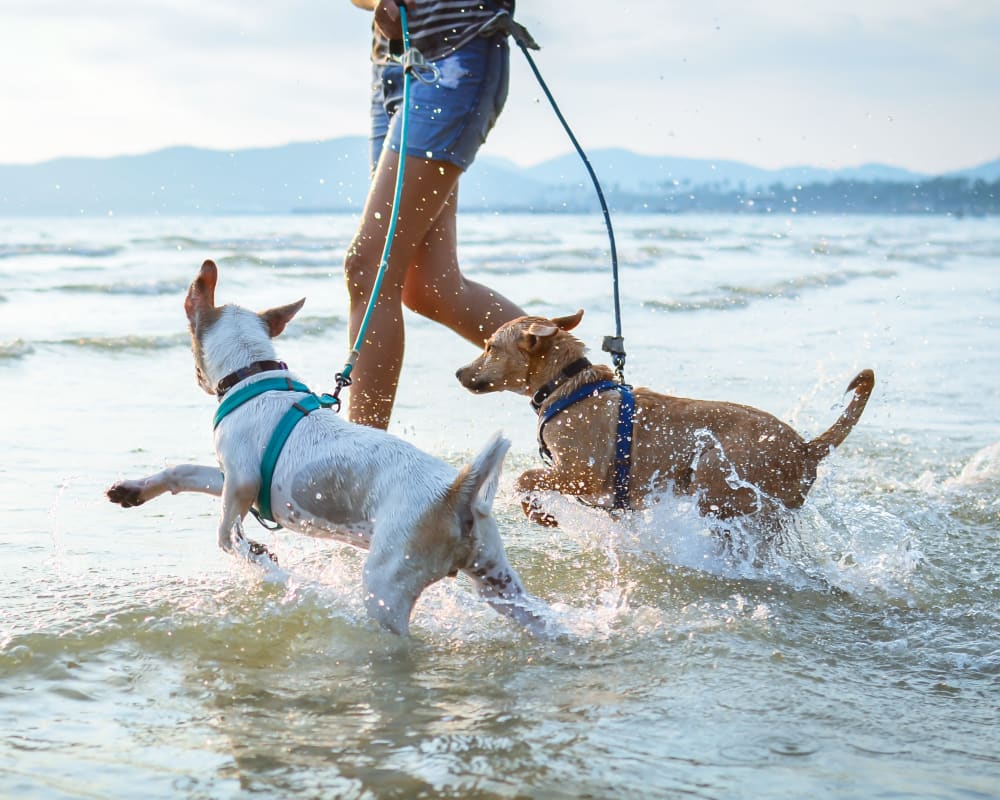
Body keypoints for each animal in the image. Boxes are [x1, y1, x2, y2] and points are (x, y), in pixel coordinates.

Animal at [105, 262, 552, 636]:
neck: (253, 375)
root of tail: (457, 493)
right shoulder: (231, 476)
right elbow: (182, 472)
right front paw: (133, 490)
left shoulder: (242, 481)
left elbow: (226, 534)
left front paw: (258, 557)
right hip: (499, 583)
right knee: (540, 618)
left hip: (387, 586)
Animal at [456, 310, 876, 528]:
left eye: (490, 347)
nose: (458, 372)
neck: (568, 386)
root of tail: (806, 448)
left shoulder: (581, 473)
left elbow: (525, 478)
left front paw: (540, 514)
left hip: (717, 476)